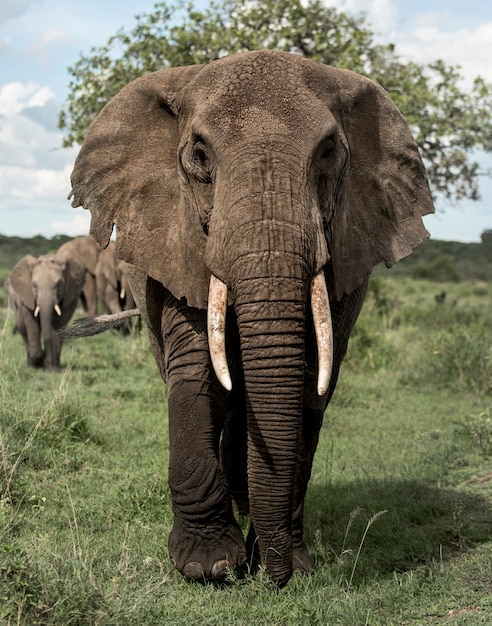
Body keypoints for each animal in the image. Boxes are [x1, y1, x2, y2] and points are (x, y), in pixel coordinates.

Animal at [68, 50, 434, 584]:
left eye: (329, 151)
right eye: (199, 155)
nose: (275, 576)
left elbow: (309, 381)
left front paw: (290, 563)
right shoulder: (179, 238)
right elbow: (199, 370)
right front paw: (211, 567)